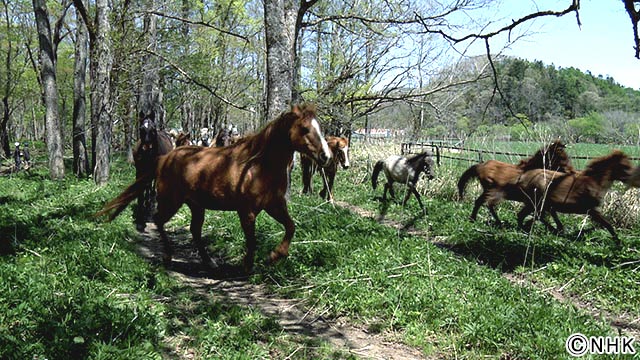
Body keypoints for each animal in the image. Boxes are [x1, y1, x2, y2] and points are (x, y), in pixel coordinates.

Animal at [100, 104, 332, 272]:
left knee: (194, 230)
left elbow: (291, 227)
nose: (326, 156)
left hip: (196, 206)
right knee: (159, 220)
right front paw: (248, 266)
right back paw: (168, 256)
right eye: (305, 129)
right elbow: (252, 240)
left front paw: (274, 256)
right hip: (171, 201)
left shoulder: (274, 205)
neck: (258, 165)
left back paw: (208, 261)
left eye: (320, 128)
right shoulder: (247, 212)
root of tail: (164, 159)